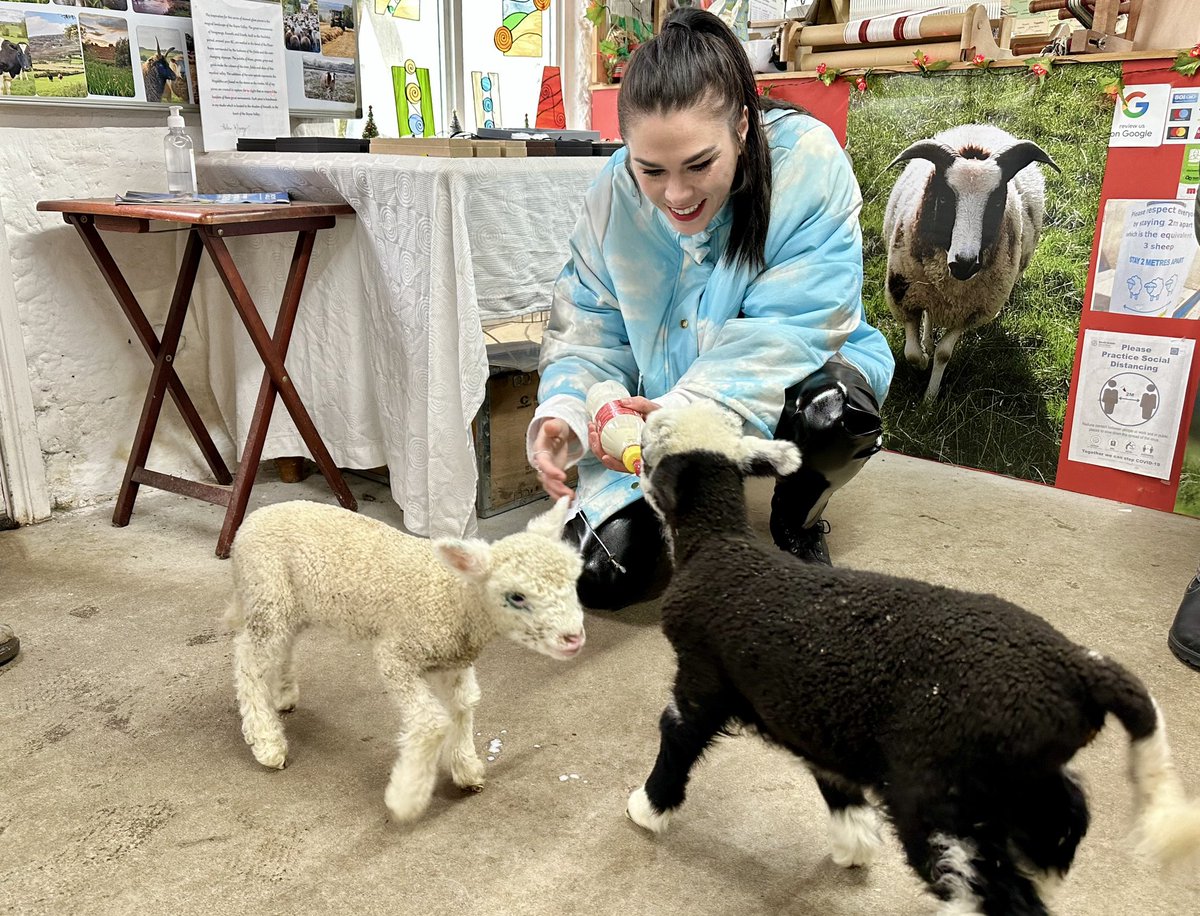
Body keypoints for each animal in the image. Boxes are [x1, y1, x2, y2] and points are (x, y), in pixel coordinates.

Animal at [228, 496, 585, 823]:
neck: (456, 599)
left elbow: (464, 704)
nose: (574, 638)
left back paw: (283, 695)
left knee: (282, 647)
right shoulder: (396, 654)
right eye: (516, 597)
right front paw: (406, 798)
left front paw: (466, 768)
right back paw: (267, 742)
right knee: (249, 661)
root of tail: (251, 522)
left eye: (573, 581)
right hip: (267, 593)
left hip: (291, 604)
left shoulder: (453, 661)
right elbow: (431, 722)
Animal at [625, 400, 1200, 916]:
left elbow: (677, 735)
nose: (633, 458)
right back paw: (1047, 871)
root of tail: (1081, 668)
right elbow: (831, 777)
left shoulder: (701, 677)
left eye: (651, 448)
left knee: (993, 892)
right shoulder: (815, 715)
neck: (718, 542)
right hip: (1017, 771)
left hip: (936, 786)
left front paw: (647, 807)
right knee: (1065, 815)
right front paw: (855, 841)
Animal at [883, 125, 1060, 401]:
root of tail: (984, 127)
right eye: (944, 199)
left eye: (997, 201)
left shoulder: (971, 312)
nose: (964, 263)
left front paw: (930, 398)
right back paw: (927, 342)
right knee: (929, 317)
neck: (953, 284)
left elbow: (944, 353)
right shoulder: (903, 295)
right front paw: (922, 362)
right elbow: (911, 354)